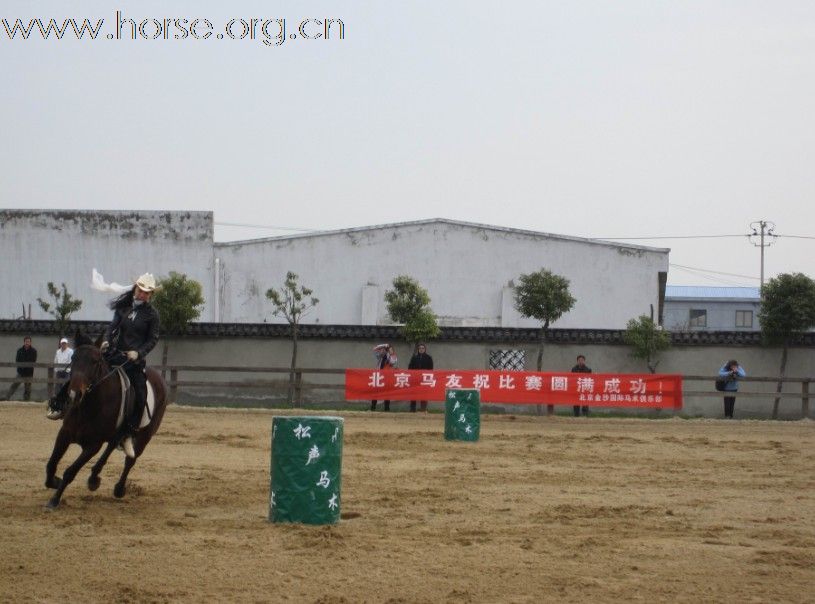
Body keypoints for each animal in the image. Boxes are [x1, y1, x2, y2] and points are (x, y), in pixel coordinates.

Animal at [44, 342, 169, 508]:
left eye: (95, 362)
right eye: (73, 358)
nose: (74, 394)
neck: (89, 406)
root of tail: (159, 378)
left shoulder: (93, 445)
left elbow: (71, 471)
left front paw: (54, 500)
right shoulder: (65, 433)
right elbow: (51, 464)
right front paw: (54, 482)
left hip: (145, 436)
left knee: (130, 460)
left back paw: (119, 489)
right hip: (116, 433)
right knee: (111, 447)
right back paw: (94, 478)